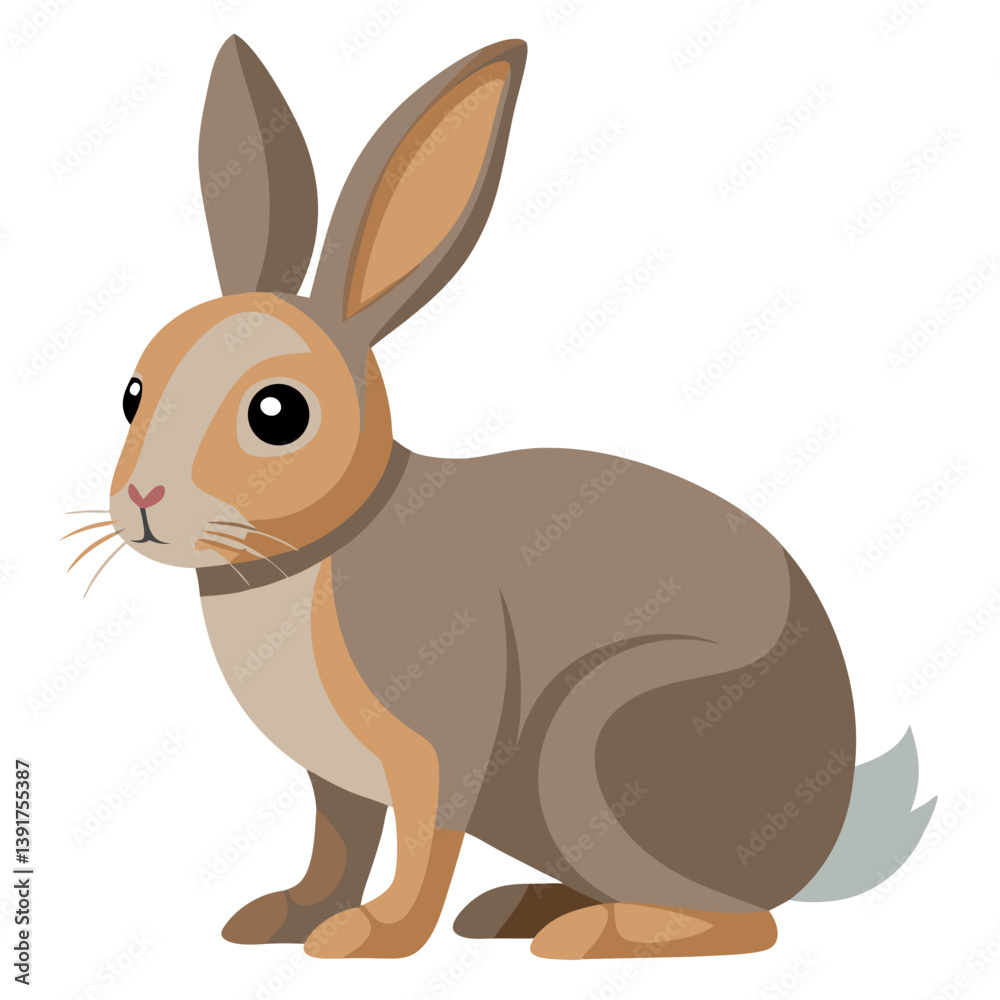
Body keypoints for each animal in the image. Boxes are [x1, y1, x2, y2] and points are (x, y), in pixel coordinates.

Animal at [71, 35, 936, 959]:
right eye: (131, 393)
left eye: (278, 413)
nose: (142, 496)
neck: (322, 546)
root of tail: (818, 843)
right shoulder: (338, 782)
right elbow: (338, 843)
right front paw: (287, 917)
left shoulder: (441, 737)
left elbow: (425, 842)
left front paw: (372, 935)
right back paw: (518, 910)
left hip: (595, 742)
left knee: (744, 924)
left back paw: (584, 936)